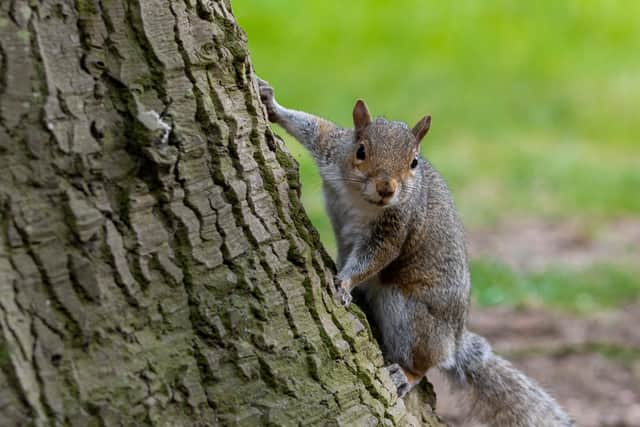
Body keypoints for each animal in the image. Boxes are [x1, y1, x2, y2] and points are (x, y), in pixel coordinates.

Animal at [258, 77, 572, 427]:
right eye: (361, 150)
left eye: (414, 162)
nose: (387, 188)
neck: (361, 198)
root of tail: (454, 340)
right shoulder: (332, 149)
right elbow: (313, 126)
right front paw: (270, 102)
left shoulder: (398, 224)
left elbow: (377, 256)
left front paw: (343, 282)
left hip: (411, 316)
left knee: (424, 362)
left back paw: (404, 374)